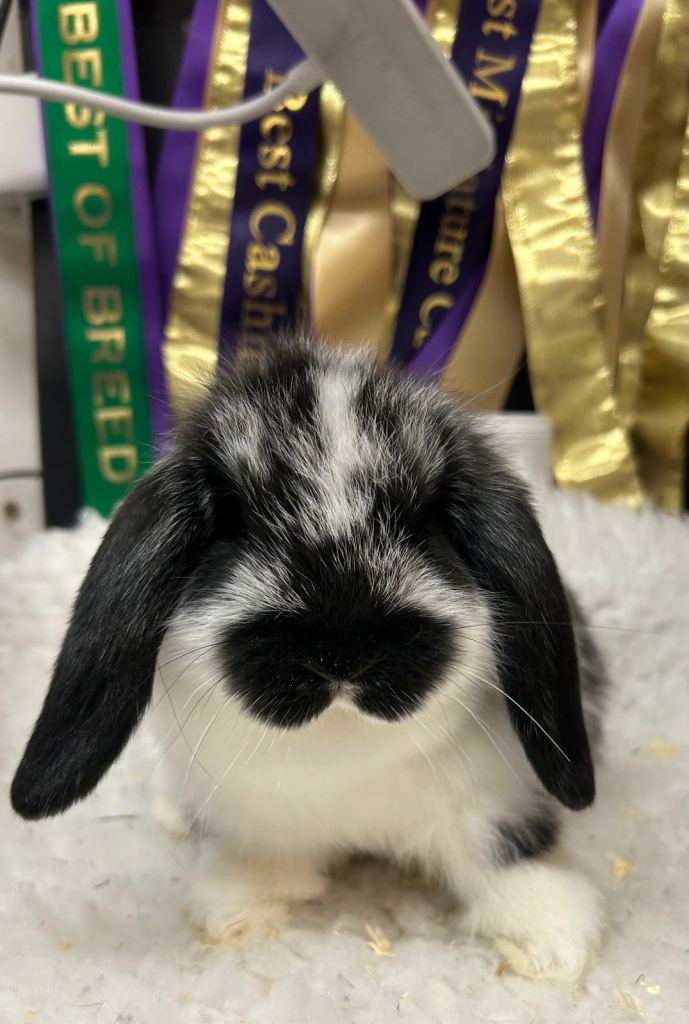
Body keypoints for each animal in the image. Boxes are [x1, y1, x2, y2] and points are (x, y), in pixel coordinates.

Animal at [11, 334, 605, 979]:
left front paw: (549, 939)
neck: (342, 744)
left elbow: (507, 853)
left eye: (428, 521)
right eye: (231, 526)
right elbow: (261, 861)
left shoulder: (496, 800)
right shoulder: (257, 818)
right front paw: (235, 907)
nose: (341, 652)